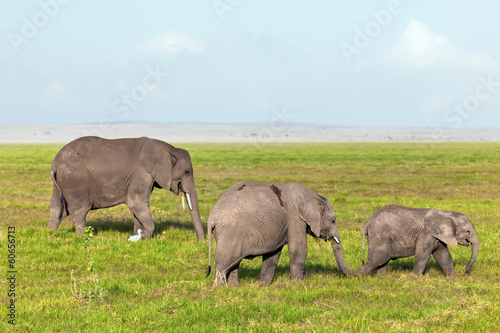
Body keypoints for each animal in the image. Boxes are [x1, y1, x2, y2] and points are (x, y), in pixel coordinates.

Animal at [46, 135, 203, 239]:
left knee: (57, 209)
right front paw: (143, 237)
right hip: (75, 183)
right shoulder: (142, 173)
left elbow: (138, 207)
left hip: (61, 183)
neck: (170, 149)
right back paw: (84, 237)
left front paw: (138, 236)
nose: (200, 241)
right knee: (79, 210)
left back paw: (51, 233)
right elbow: (136, 203)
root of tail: (55, 163)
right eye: (187, 172)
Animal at [205, 182, 350, 286]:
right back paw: (219, 288)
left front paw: (263, 285)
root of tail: (212, 216)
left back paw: (234, 287)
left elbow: (273, 254)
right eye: (333, 220)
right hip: (231, 232)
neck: (311, 195)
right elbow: (298, 248)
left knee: (234, 262)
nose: (352, 275)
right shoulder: (295, 218)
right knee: (225, 261)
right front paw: (297, 285)